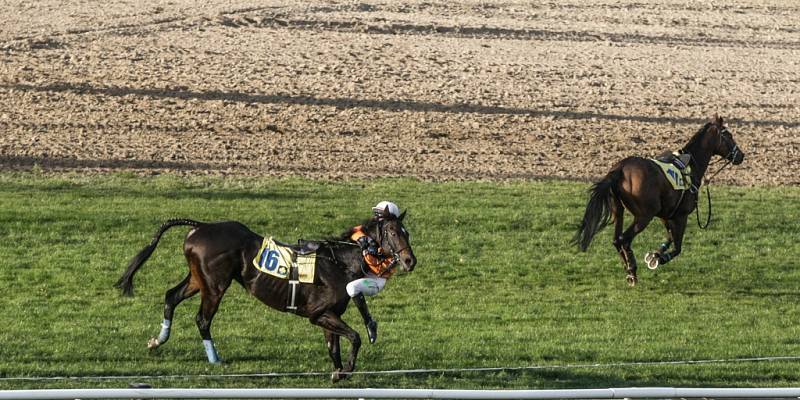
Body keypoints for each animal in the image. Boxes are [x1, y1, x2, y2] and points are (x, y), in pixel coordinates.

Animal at [115, 208, 416, 382]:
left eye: (407, 232)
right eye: (392, 232)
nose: (410, 261)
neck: (339, 261)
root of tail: (199, 226)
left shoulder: (329, 316)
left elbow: (335, 347)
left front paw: (338, 371)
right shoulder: (319, 314)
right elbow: (354, 337)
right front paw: (345, 370)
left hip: (198, 280)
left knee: (170, 297)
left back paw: (157, 340)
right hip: (215, 285)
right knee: (202, 319)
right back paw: (215, 358)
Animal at [576, 115, 744, 284]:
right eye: (729, 136)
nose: (741, 156)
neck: (691, 165)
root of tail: (620, 168)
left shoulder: (666, 215)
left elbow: (670, 238)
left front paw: (656, 254)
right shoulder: (681, 216)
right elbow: (677, 247)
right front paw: (659, 258)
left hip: (619, 212)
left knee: (617, 240)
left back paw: (628, 270)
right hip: (644, 216)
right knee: (624, 239)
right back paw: (632, 270)